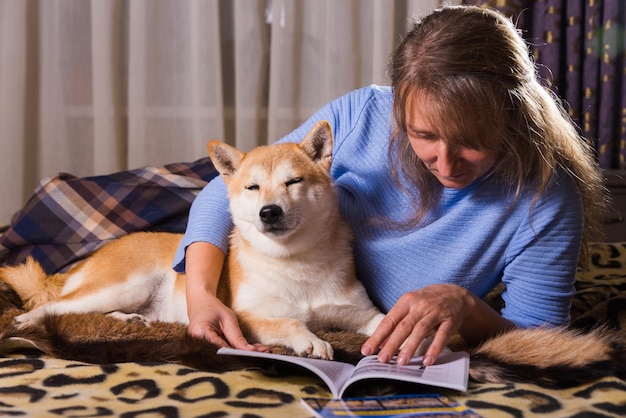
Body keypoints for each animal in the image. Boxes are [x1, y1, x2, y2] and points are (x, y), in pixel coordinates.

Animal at [0, 120, 382, 360]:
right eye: (253, 187)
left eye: (293, 181)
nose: (269, 212)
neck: (297, 262)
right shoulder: (243, 317)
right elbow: (289, 322)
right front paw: (312, 342)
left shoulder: (359, 314)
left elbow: (382, 321)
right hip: (123, 285)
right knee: (54, 306)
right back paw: (28, 322)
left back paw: (131, 321)